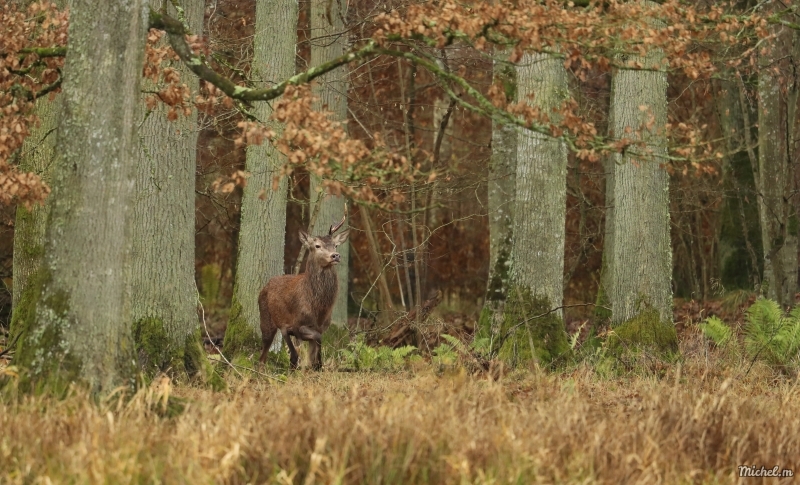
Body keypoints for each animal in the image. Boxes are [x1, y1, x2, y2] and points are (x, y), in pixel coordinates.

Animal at [260, 213, 350, 370]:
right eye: (317, 245)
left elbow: (314, 352)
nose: (335, 255)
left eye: (335, 245)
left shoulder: (321, 327)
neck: (319, 309)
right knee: (262, 356)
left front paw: (316, 366)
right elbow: (311, 345)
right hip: (266, 320)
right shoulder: (297, 325)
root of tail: (265, 286)